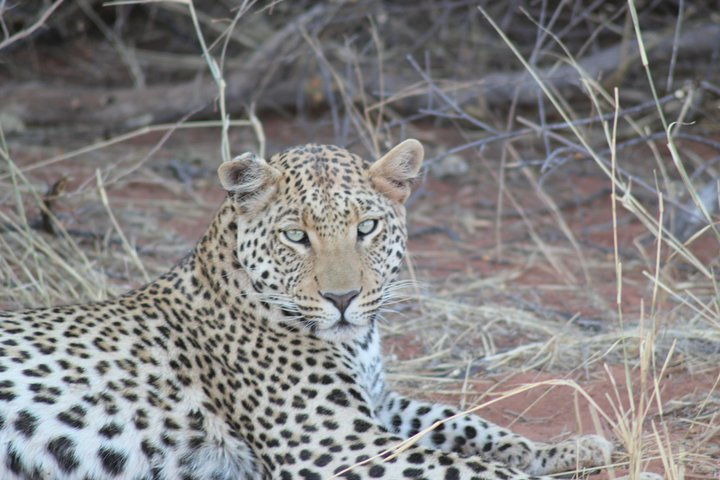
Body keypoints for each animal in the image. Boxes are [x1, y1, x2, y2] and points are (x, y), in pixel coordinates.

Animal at [0, 139, 617, 479]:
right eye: (296, 237)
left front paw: (565, 449)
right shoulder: (338, 447)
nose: (343, 299)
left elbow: (466, 423)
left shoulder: (381, 407)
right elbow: (471, 467)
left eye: (366, 228)